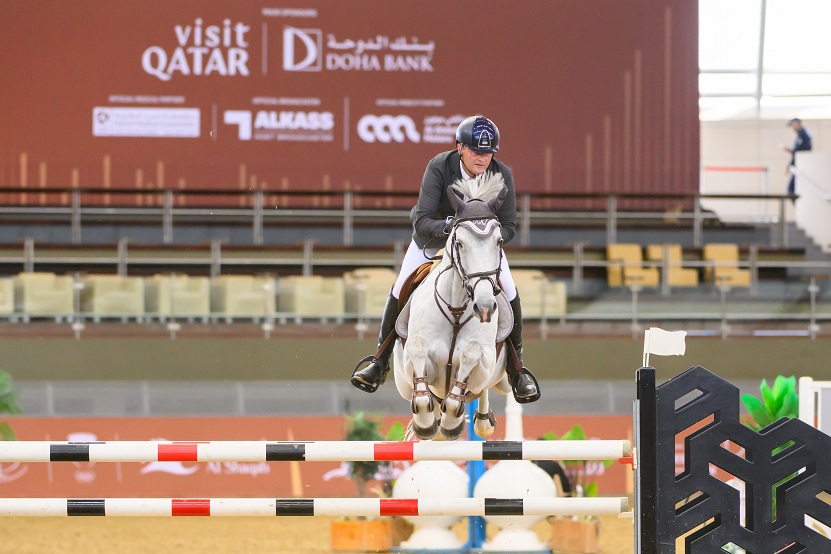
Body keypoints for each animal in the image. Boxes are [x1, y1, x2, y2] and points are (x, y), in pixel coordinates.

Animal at [392, 172, 513, 441]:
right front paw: (425, 420)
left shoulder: (485, 365)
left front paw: (452, 420)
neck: (456, 309)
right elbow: (417, 348)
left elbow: (471, 353)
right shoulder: (412, 364)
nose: (485, 307)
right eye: (459, 243)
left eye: (499, 241)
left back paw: (480, 421)